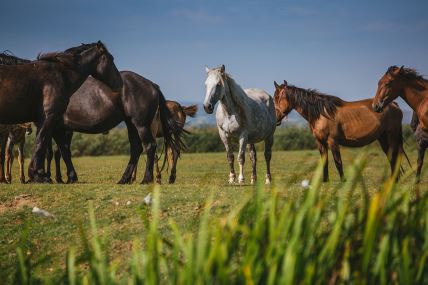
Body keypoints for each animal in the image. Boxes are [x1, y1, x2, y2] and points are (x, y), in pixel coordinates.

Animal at [0, 41, 122, 182]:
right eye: (111, 58)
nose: (120, 83)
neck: (60, 75)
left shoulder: (53, 123)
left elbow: (57, 149)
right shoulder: (49, 118)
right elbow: (42, 145)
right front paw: (39, 175)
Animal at [274, 81, 408, 181]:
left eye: (277, 98)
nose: (275, 119)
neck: (321, 114)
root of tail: (394, 104)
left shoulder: (332, 141)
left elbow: (338, 162)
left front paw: (343, 181)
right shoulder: (320, 142)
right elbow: (324, 162)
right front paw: (325, 181)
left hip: (391, 136)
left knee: (394, 158)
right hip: (383, 138)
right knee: (391, 157)